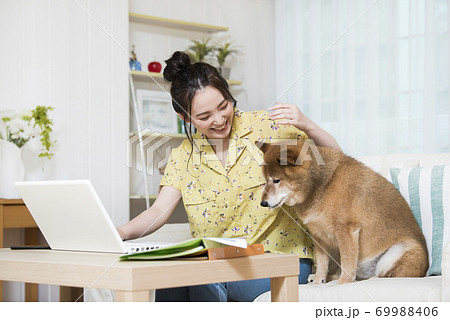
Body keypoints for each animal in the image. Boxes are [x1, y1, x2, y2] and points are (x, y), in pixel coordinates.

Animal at [258, 141, 428, 284]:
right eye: (265, 180)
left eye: (276, 180)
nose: (263, 203)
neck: (324, 186)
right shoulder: (319, 236)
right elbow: (322, 262)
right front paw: (319, 279)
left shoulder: (347, 230)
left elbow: (347, 263)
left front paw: (343, 282)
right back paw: (331, 277)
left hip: (398, 252)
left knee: (390, 275)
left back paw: (370, 279)